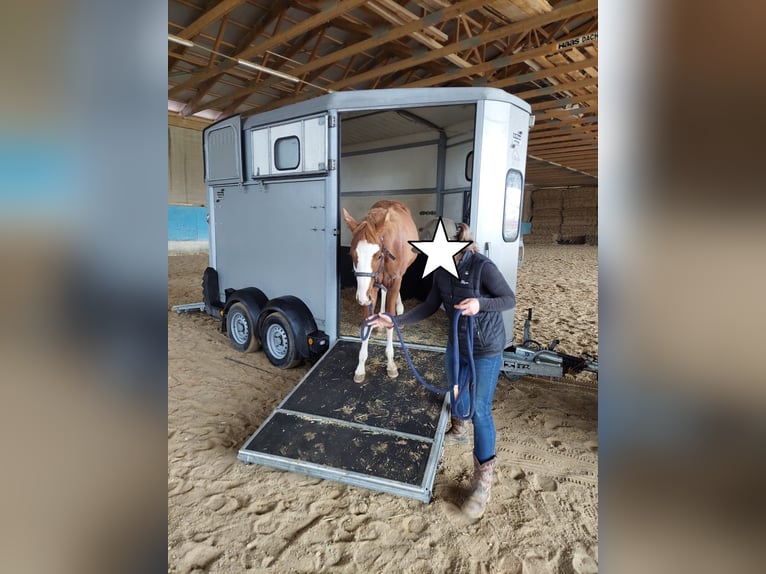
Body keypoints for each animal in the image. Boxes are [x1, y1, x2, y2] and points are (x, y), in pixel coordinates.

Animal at [344, 200, 420, 384]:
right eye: (352, 254)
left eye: (378, 255)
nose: (361, 297)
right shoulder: (370, 287)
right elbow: (367, 320)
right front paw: (360, 367)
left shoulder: (395, 279)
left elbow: (391, 317)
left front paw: (391, 364)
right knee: (383, 293)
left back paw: (399, 311)